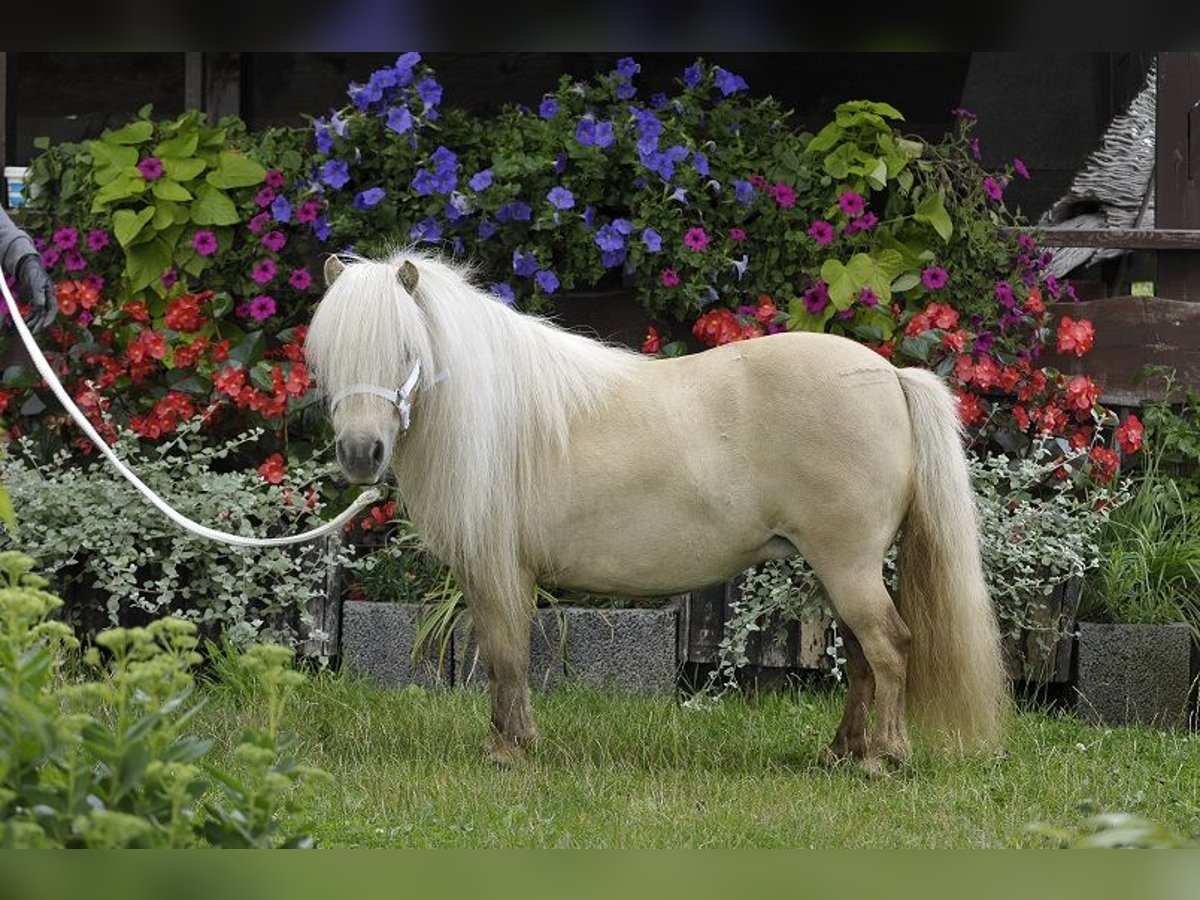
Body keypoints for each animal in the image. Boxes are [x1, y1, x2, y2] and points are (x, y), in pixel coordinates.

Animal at [304, 250, 1008, 772]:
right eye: (328, 354)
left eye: (406, 348)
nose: (361, 453)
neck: (502, 416)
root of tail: (890, 376)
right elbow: (506, 657)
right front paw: (512, 742)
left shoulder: (500, 569)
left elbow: (506, 655)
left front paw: (507, 752)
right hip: (836, 570)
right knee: (864, 655)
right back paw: (841, 753)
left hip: (848, 565)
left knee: (889, 647)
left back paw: (881, 761)